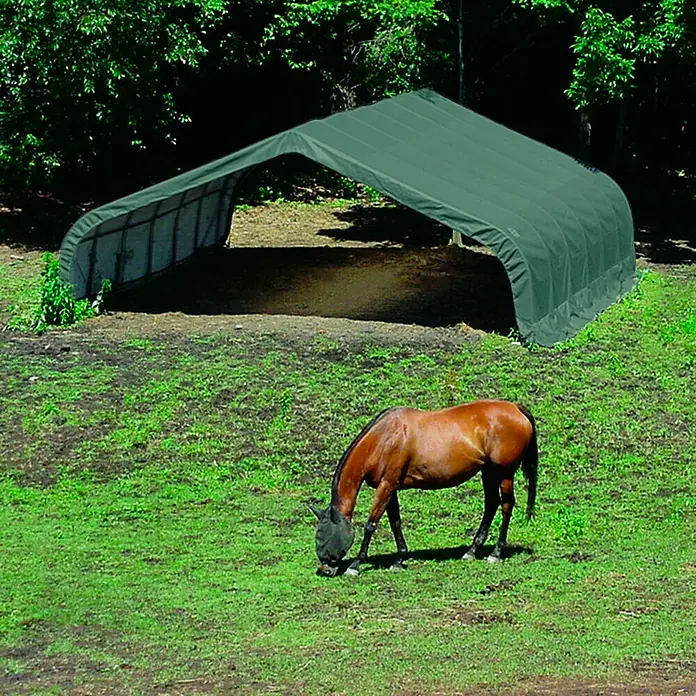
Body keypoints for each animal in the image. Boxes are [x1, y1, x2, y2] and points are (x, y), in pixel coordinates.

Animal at [309, 400, 538, 577]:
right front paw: (399, 559)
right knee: (491, 504)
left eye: (322, 535)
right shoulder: (391, 487)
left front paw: (356, 565)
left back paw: (496, 553)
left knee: (506, 505)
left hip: (504, 473)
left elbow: (371, 524)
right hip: (488, 471)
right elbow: (395, 522)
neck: (384, 438)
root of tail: (516, 408)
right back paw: (472, 551)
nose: (325, 570)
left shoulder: (386, 486)